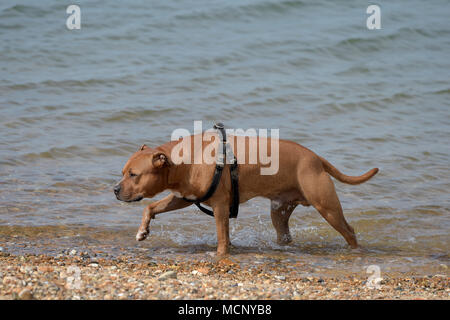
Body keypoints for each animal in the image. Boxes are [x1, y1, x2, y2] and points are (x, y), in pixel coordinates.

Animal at [114, 132, 378, 258]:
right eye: (123, 173)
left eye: (134, 174)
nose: (115, 189)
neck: (184, 160)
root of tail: (315, 158)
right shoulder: (182, 197)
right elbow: (151, 207)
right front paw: (143, 231)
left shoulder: (220, 206)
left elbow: (222, 236)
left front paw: (220, 255)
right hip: (279, 212)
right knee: (284, 234)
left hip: (327, 207)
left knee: (349, 231)